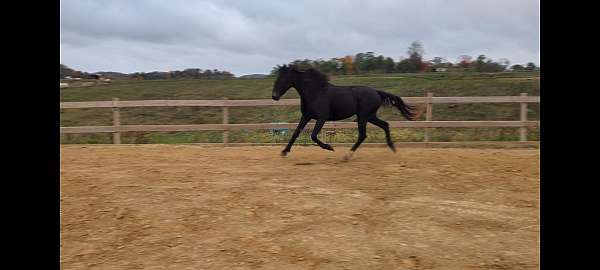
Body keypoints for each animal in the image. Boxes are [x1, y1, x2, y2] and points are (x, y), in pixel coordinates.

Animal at [274, 64, 418, 159]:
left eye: (282, 79)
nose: (274, 96)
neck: (315, 92)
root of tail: (377, 92)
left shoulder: (321, 118)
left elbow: (313, 136)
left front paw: (330, 147)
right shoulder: (306, 117)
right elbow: (296, 133)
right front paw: (284, 152)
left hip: (363, 116)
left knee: (363, 135)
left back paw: (348, 155)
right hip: (369, 116)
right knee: (385, 125)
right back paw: (393, 148)